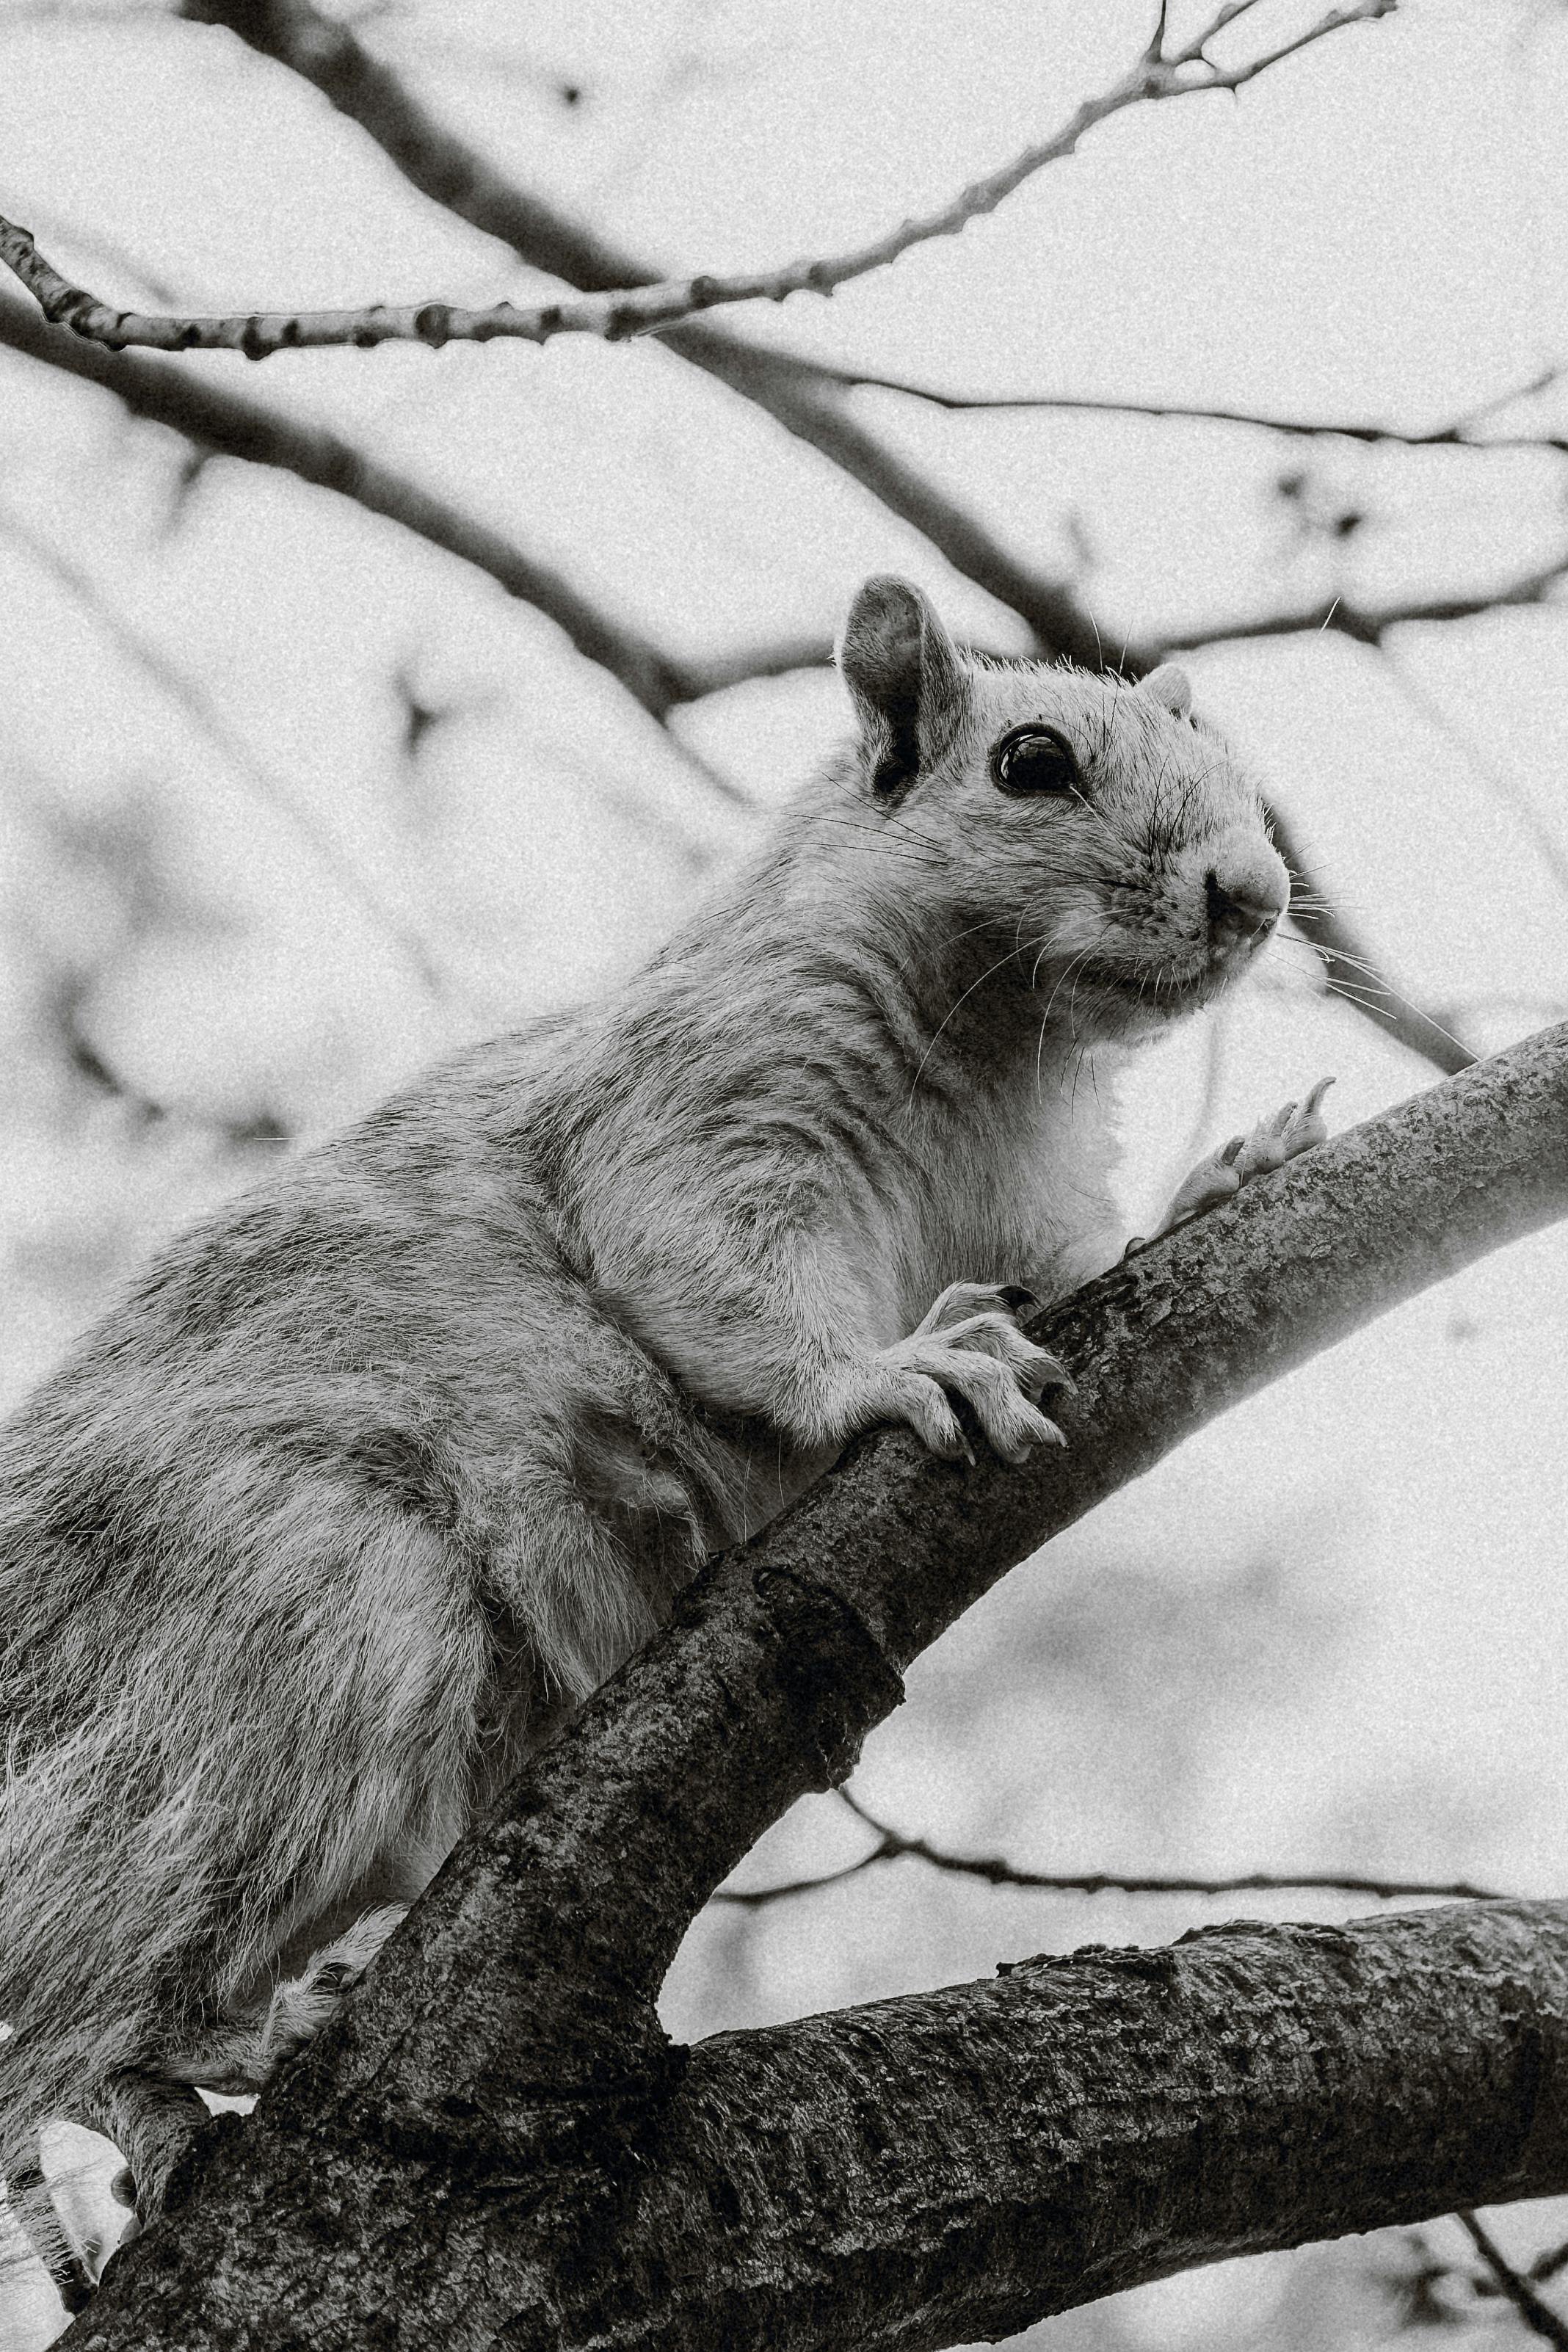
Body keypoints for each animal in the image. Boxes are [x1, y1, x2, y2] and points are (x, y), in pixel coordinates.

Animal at [0, 576, 1330, 2303]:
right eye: (1031, 762)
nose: (1256, 894)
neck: (1003, 1056)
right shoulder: (705, 1105)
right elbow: (713, 1268)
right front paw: (888, 1373)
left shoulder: (1032, 1215)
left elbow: (1089, 1265)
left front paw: (1229, 1176)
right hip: (296, 1633)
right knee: (76, 1991)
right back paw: (207, 2050)